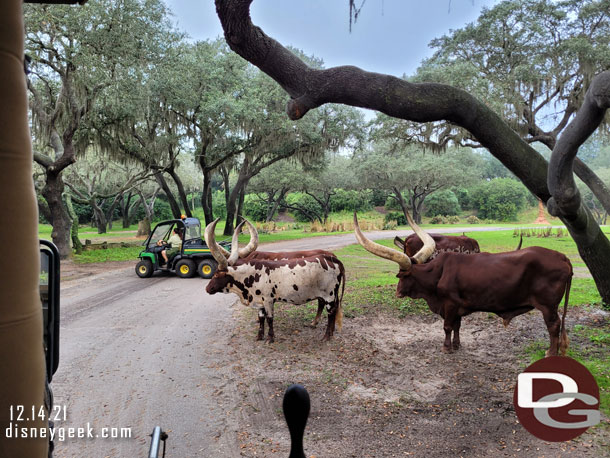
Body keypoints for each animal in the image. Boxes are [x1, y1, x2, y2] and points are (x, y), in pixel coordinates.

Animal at [352, 213, 568, 356]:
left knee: (553, 326)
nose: (397, 293)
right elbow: (457, 325)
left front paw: (446, 347)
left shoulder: (449, 304)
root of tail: (563, 257)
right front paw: (456, 345)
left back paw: (551, 352)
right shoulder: (457, 307)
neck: (438, 273)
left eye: (401, 276)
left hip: (548, 306)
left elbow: (447, 326)